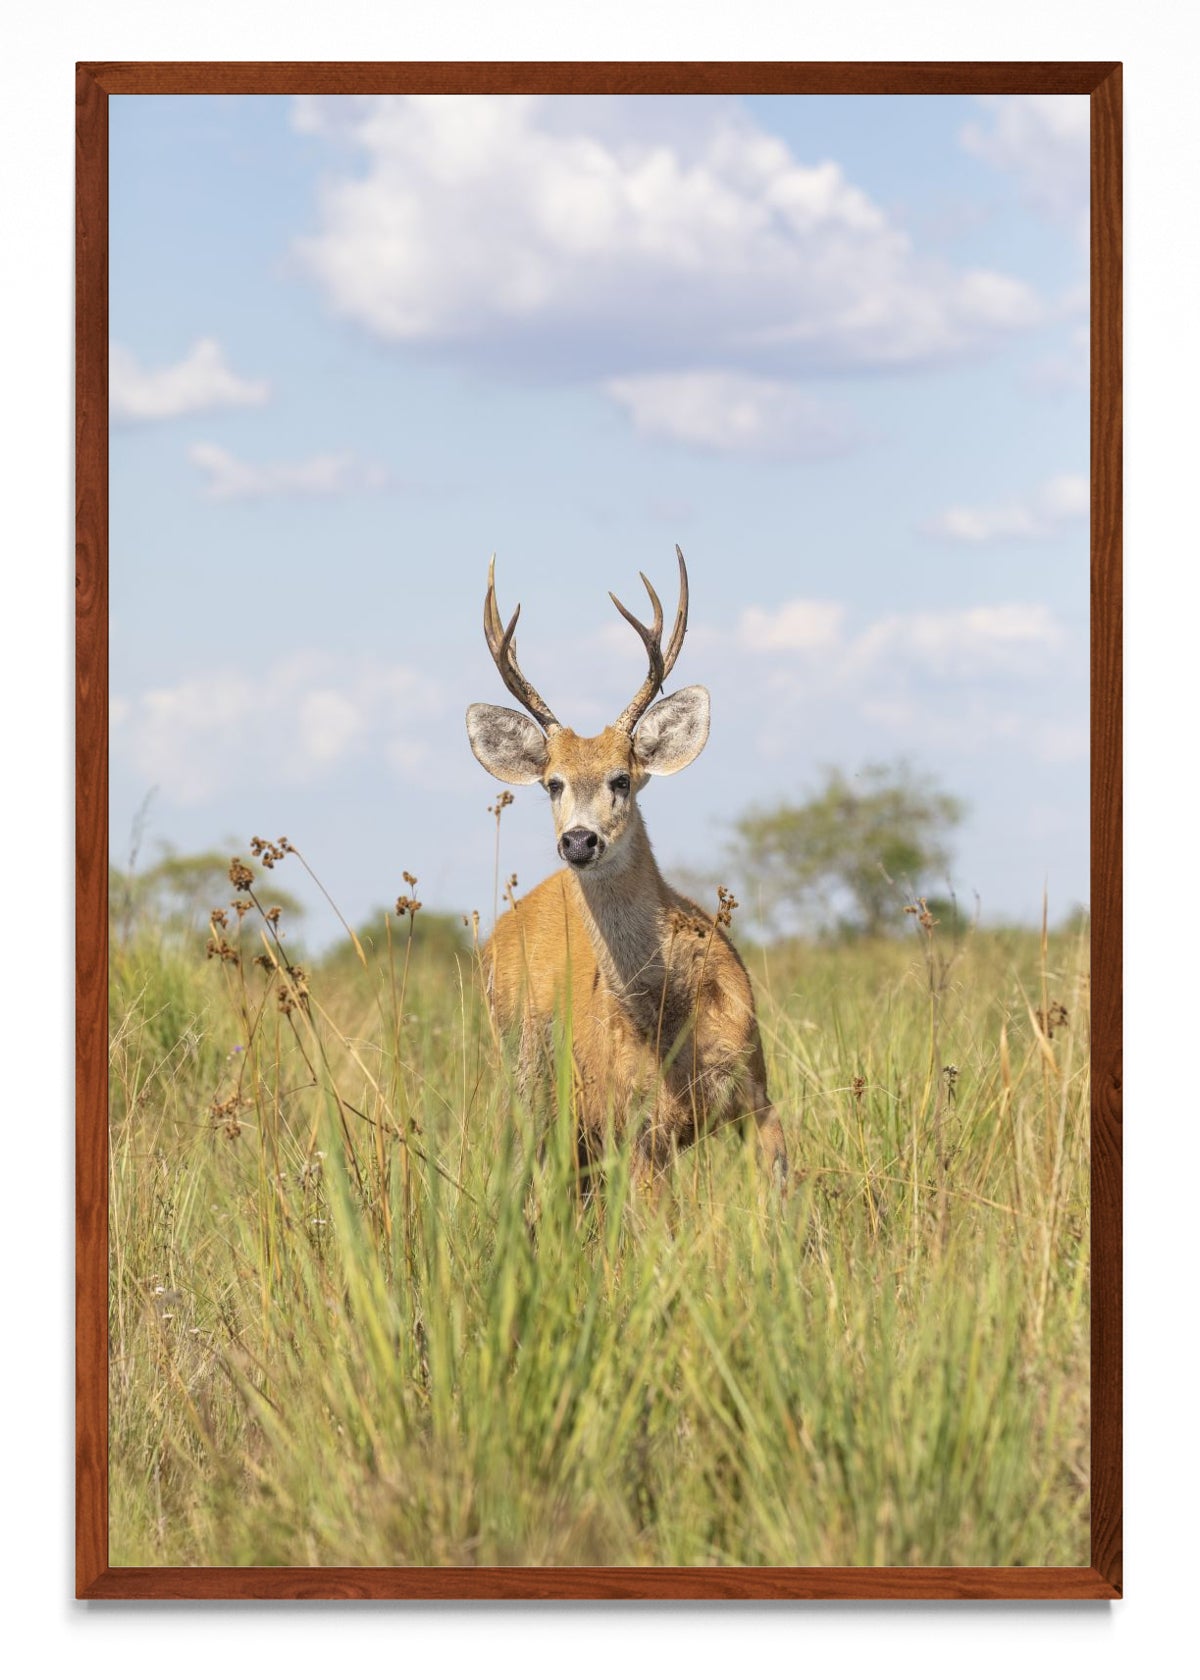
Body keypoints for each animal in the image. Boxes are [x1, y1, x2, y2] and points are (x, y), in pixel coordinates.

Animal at [466, 546, 788, 1198]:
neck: (669, 1018)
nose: (579, 840)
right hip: (524, 1084)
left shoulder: (757, 1091)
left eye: (622, 778)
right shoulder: (634, 1127)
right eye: (552, 783)